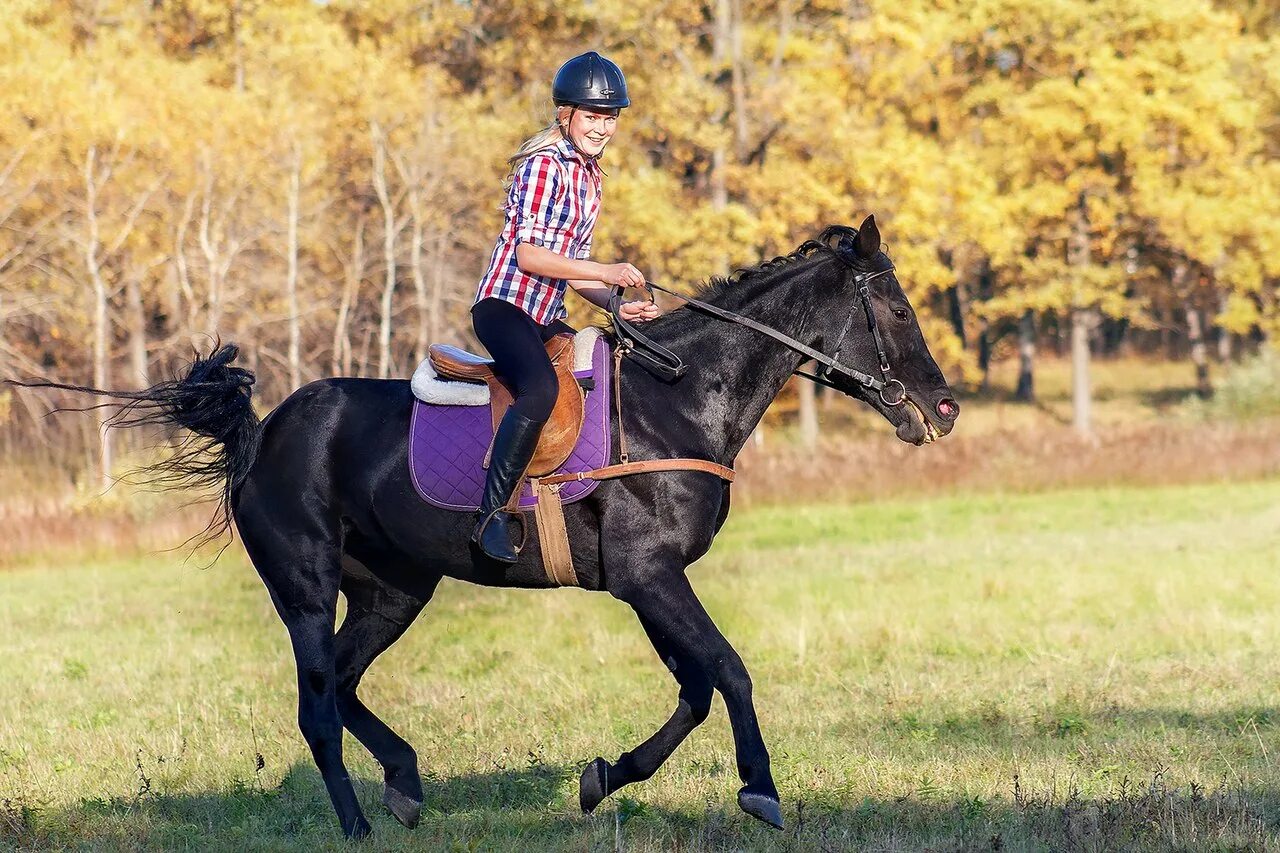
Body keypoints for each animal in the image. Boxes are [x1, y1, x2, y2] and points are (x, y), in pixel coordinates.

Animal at [27, 213, 962, 835]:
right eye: (899, 311)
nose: (945, 408)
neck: (677, 398)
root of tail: (264, 431)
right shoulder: (649, 575)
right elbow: (728, 669)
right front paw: (760, 786)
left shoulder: (644, 582)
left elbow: (695, 688)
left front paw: (603, 777)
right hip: (306, 586)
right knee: (317, 706)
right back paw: (358, 824)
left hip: (394, 590)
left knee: (345, 683)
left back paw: (405, 781)